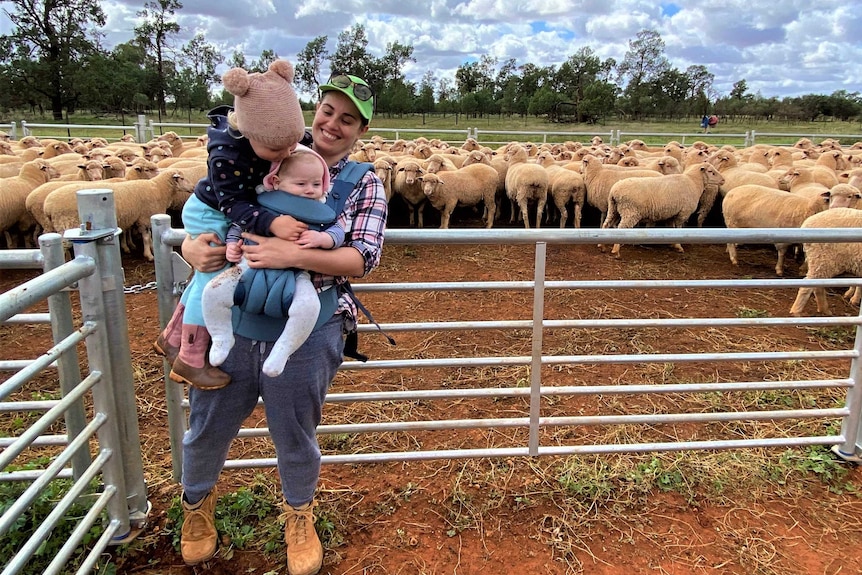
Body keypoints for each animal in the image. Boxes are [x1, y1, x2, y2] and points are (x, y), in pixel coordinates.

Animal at [600, 163, 728, 260]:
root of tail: (614, 191)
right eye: (711, 171)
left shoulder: (672, 213)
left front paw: (672, 244)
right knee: (620, 228)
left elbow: (671, 228)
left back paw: (602, 246)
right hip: (630, 212)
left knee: (606, 225)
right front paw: (678, 246)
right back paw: (616, 251)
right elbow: (678, 228)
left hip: (614, 210)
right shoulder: (683, 213)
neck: (694, 183)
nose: (723, 180)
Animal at [724, 183, 862, 276]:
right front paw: (779, 270)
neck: (810, 209)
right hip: (732, 223)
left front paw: (802, 269)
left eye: (850, 196)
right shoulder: (782, 237)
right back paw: (734, 259)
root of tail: (732, 191)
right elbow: (782, 253)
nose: (835, 207)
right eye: (831, 196)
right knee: (730, 243)